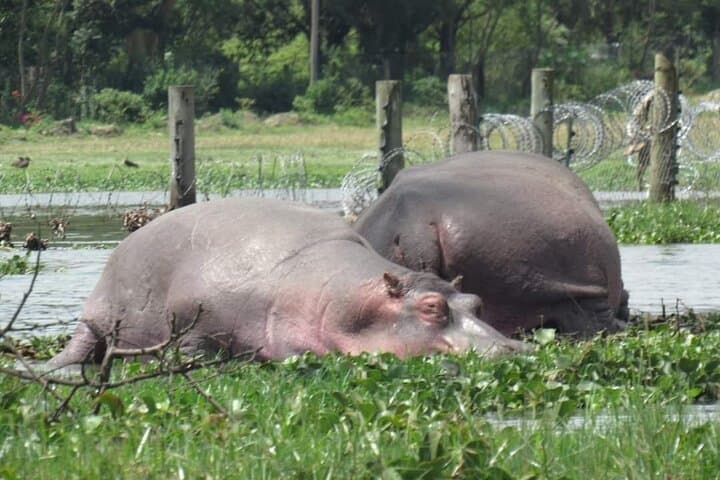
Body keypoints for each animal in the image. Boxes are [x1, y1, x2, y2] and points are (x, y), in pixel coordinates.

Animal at [50, 198, 525, 367]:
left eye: (477, 302)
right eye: (431, 308)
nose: (512, 347)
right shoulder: (195, 321)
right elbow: (194, 349)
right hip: (99, 315)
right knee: (82, 345)